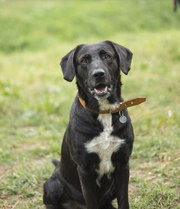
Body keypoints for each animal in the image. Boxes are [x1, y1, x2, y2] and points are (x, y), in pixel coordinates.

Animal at [43, 41, 134, 209]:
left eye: (107, 56)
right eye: (84, 60)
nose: (98, 74)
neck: (104, 112)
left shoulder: (123, 164)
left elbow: (123, 200)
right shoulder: (85, 170)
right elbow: (91, 201)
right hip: (53, 185)